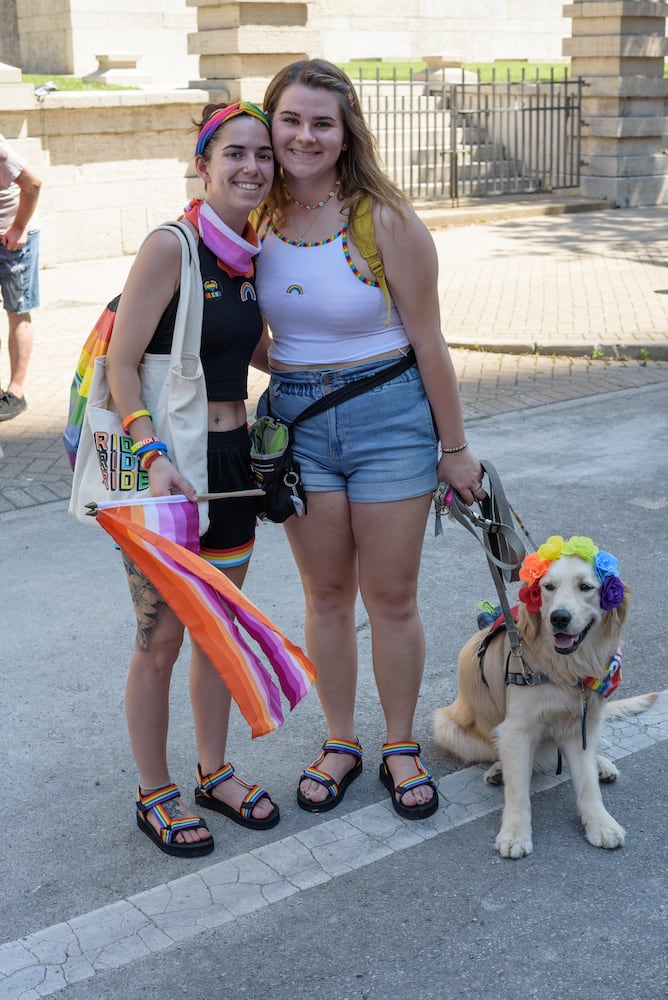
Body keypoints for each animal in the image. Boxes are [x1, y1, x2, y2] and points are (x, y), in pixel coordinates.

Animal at [434, 540, 656, 860]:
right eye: (548, 587)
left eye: (585, 587)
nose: (559, 617)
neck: (565, 670)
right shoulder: (517, 729)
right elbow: (518, 790)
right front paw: (514, 833)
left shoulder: (580, 724)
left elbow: (588, 784)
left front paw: (601, 824)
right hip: (447, 727)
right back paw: (498, 770)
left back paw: (602, 764)